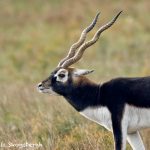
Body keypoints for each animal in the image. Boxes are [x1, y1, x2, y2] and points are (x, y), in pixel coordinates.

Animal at [37, 11, 150, 150]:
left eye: (61, 74)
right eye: (53, 71)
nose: (40, 85)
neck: (99, 95)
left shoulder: (119, 127)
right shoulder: (132, 131)